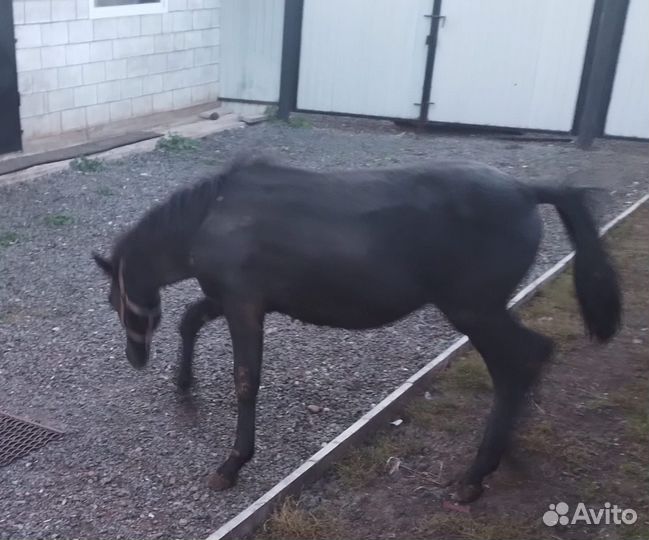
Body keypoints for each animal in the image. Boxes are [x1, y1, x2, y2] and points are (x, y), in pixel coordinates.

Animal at [92, 155, 621, 502]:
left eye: (115, 299)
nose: (135, 356)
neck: (212, 216)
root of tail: (528, 190)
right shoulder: (229, 299)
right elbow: (190, 320)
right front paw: (184, 383)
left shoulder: (244, 305)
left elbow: (245, 380)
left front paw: (233, 463)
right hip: (484, 310)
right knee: (530, 358)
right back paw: (507, 452)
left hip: (474, 310)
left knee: (519, 361)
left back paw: (476, 474)